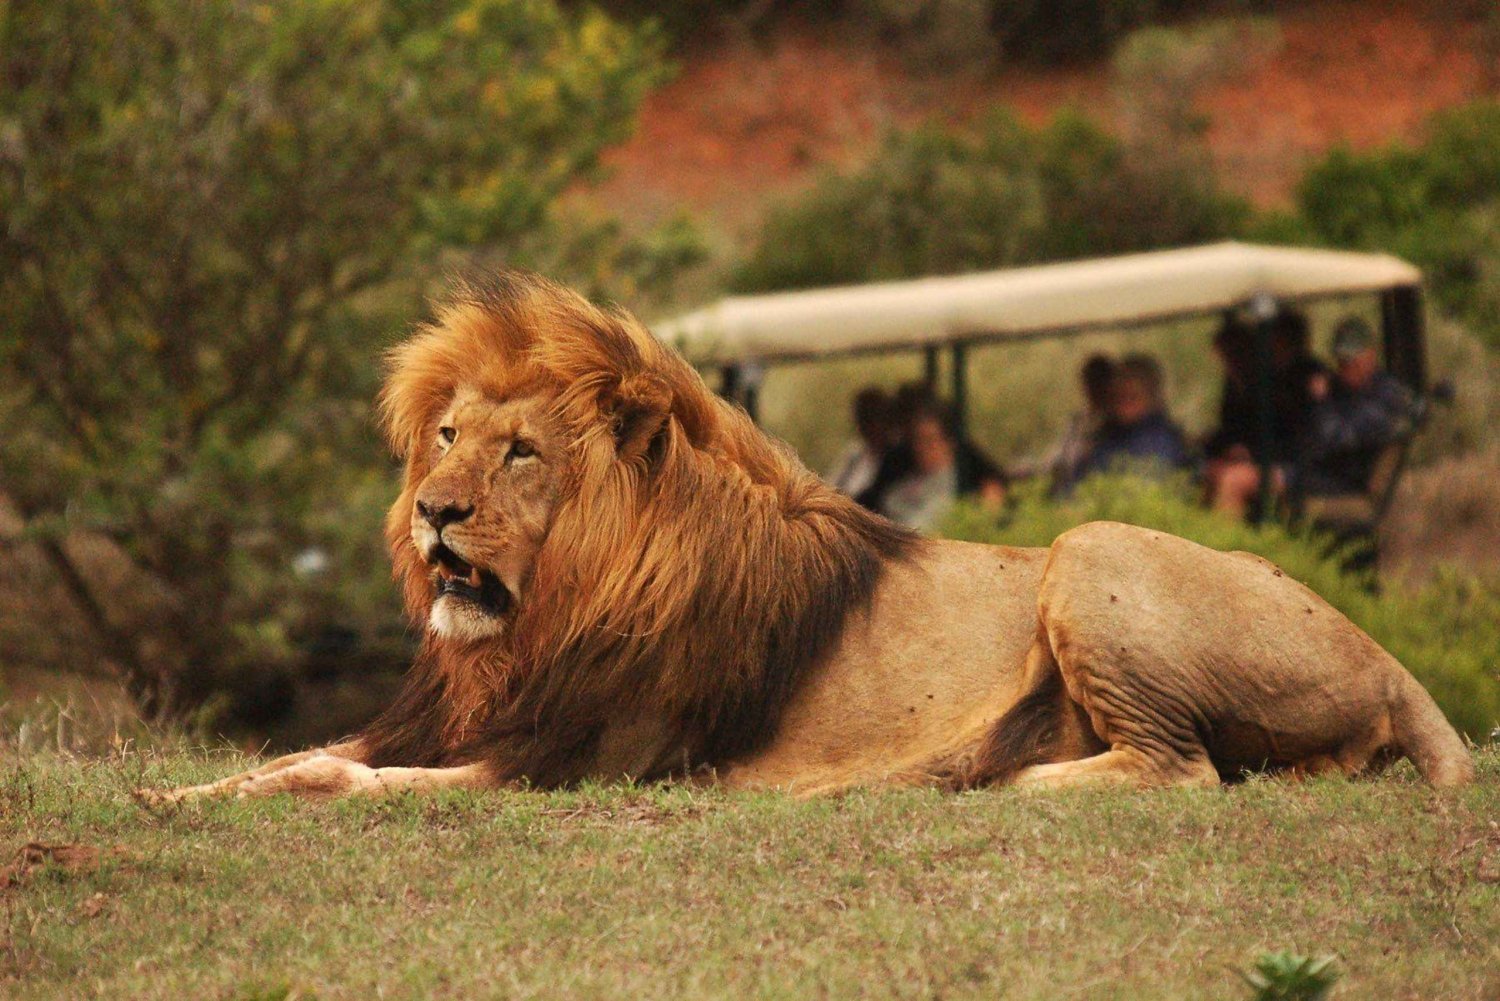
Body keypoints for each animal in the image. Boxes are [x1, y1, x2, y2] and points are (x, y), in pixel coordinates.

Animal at [155, 270, 1476, 804]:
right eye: (442, 436)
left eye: (521, 451)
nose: (436, 510)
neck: (533, 626)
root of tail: (1388, 656)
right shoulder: (448, 724)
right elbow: (295, 754)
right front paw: (178, 794)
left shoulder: (575, 762)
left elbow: (331, 773)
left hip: (1092, 545)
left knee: (1180, 767)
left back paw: (989, 775)